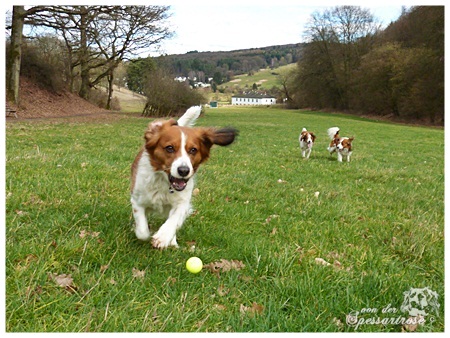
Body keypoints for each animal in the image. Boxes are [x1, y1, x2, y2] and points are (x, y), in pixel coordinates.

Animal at [130, 105, 237, 248]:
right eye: (169, 148)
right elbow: (142, 232)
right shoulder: (137, 200)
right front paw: (143, 231)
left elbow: (174, 221)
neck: (165, 183)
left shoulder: (182, 203)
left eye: (193, 150)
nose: (184, 171)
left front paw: (163, 237)